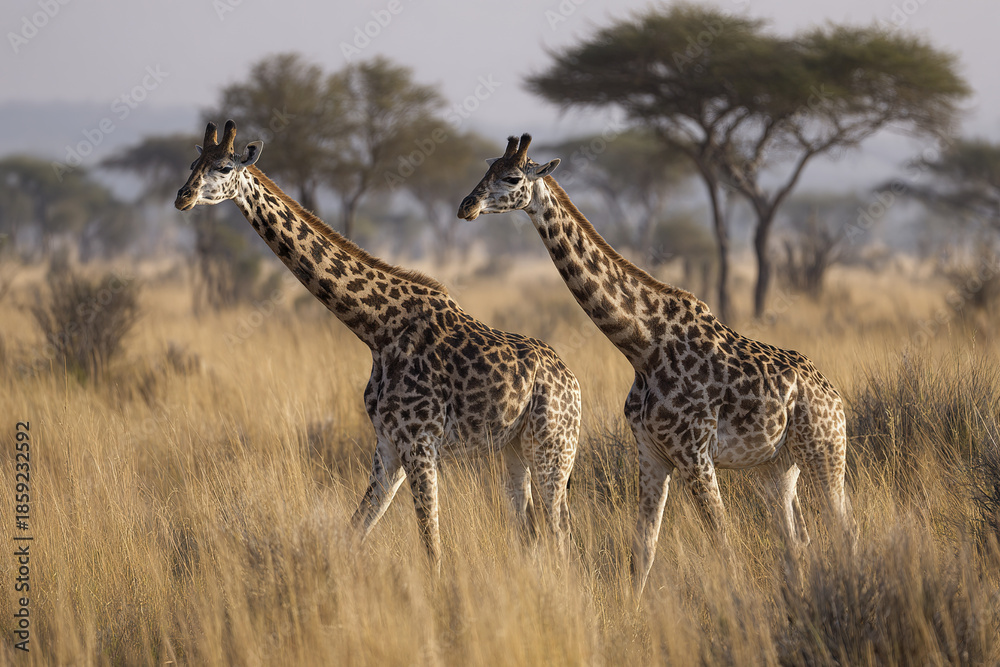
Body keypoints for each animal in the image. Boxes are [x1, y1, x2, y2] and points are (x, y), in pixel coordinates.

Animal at [175, 121, 581, 571]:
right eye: (193, 164)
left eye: (224, 167)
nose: (183, 197)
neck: (378, 329)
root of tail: (573, 382)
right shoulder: (388, 444)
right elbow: (357, 529)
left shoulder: (420, 444)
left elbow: (432, 549)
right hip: (514, 449)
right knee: (533, 530)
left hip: (553, 448)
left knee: (561, 532)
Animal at [458, 134, 850, 595]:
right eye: (487, 170)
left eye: (513, 178)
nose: (466, 205)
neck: (642, 346)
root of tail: (833, 395)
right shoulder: (651, 453)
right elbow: (643, 549)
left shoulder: (695, 454)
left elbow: (724, 545)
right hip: (776, 466)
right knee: (797, 538)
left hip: (825, 450)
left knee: (841, 526)